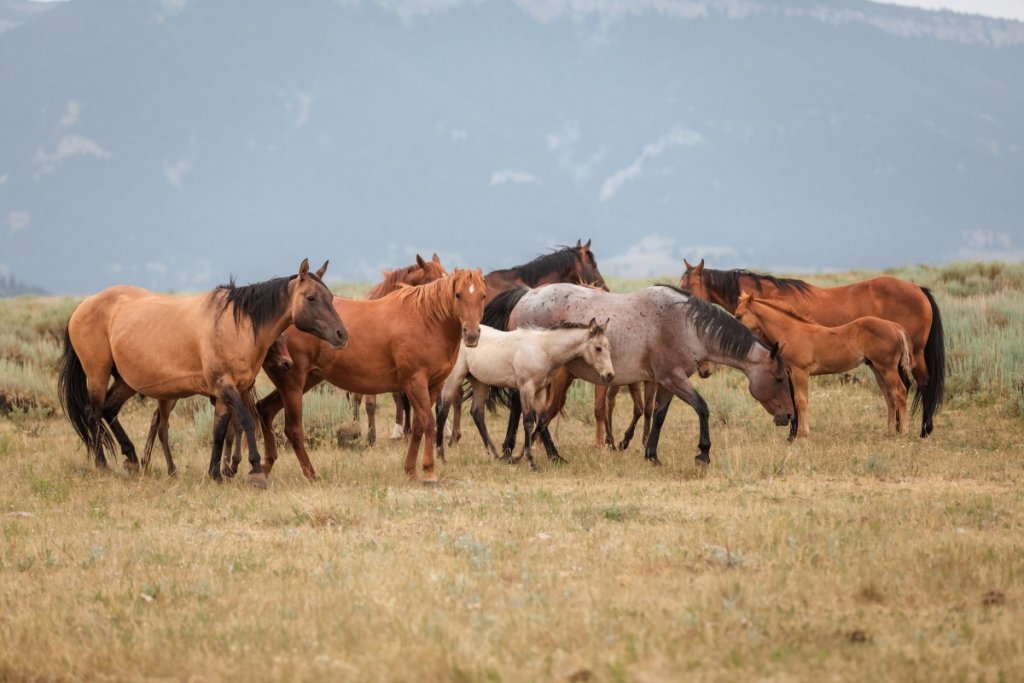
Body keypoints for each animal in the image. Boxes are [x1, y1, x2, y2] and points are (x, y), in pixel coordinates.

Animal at [139, 334, 294, 477]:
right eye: (272, 344)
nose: (287, 363)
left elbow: (231, 428)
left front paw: (228, 466)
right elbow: (232, 429)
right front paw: (229, 467)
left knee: (156, 418)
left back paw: (145, 463)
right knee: (160, 424)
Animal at [435, 320, 614, 470]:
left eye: (608, 347)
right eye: (598, 348)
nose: (610, 375)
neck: (543, 349)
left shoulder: (540, 390)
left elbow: (542, 420)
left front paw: (516, 457)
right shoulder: (526, 388)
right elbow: (528, 421)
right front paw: (530, 461)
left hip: (480, 381)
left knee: (477, 412)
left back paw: (495, 455)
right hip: (454, 378)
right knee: (442, 409)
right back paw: (441, 456)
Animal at [482, 284, 796, 465]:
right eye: (779, 379)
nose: (790, 416)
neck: (686, 324)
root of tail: (527, 294)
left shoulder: (667, 383)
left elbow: (658, 415)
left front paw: (651, 454)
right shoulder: (674, 379)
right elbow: (702, 408)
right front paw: (703, 452)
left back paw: (525, 452)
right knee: (530, 410)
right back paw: (529, 453)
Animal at [734, 292, 914, 437]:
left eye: (739, 316)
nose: (737, 330)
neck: (791, 331)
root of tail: (894, 326)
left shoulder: (801, 371)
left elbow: (801, 400)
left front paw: (803, 434)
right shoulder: (791, 372)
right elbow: (796, 400)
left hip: (888, 368)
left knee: (900, 391)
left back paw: (904, 431)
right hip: (877, 368)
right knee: (889, 396)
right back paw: (890, 431)